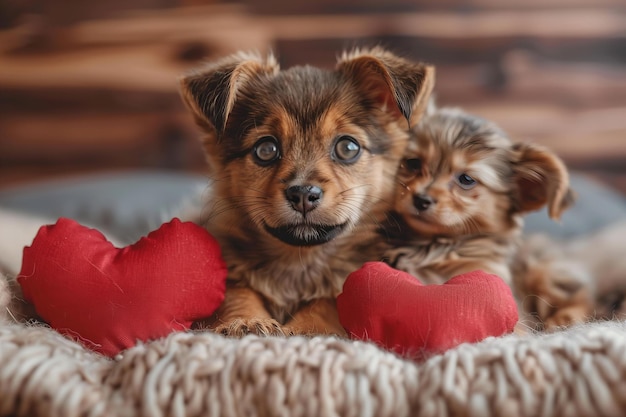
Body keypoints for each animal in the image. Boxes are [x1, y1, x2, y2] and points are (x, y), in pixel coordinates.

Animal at [179, 47, 434, 336]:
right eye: (265, 149)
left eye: (348, 147)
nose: (302, 194)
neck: (299, 261)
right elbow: (237, 292)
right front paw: (246, 320)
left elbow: (328, 301)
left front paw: (305, 326)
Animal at [382, 105, 584, 330]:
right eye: (413, 163)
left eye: (466, 179)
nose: (420, 199)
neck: (432, 246)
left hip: (544, 272)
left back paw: (565, 319)